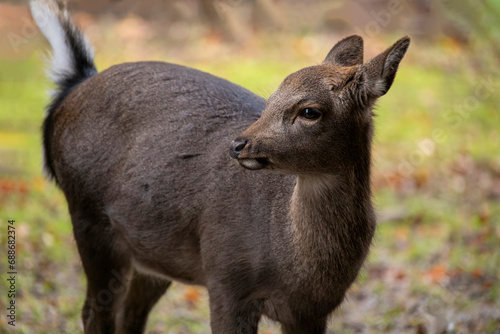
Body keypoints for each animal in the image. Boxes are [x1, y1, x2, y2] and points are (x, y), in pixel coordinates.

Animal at [30, 0, 410, 334]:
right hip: (88, 215)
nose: (239, 144)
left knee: (129, 316)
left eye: (309, 111)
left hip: (153, 252)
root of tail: (73, 87)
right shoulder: (226, 277)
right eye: (269, 101)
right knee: (94, 312)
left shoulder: (314, 310)